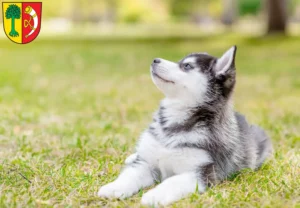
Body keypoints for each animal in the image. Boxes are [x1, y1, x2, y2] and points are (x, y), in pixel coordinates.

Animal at [98, 46, 272, 206]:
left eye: (187, 66)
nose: (155, 60)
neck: (174, 125)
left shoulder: (202, 173)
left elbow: (172, 182)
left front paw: (154, 195)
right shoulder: (146, 163)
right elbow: (130, 175)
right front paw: (113, 188)